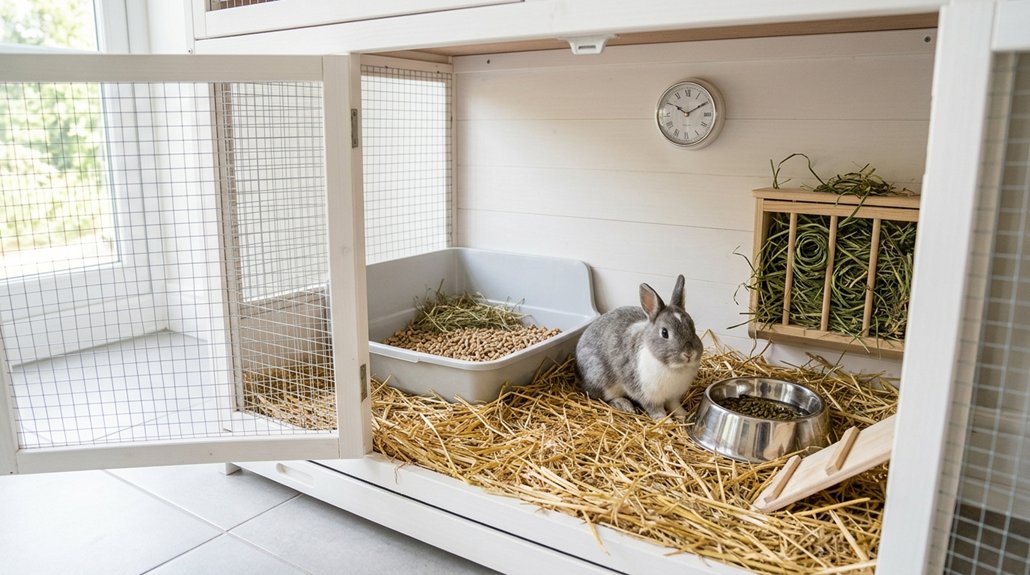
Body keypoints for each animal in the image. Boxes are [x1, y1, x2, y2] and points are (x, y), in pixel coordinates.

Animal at [575, 274, 703, 420]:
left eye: (693, 327)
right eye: (664, 332)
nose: (689, 354)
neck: (673, 367)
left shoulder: (673, 396)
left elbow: (675, 406)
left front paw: (684, 415)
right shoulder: (646, 395)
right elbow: (657, 410)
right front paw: (666, 421)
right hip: (601, 379)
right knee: (603, 397)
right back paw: (624, 405)